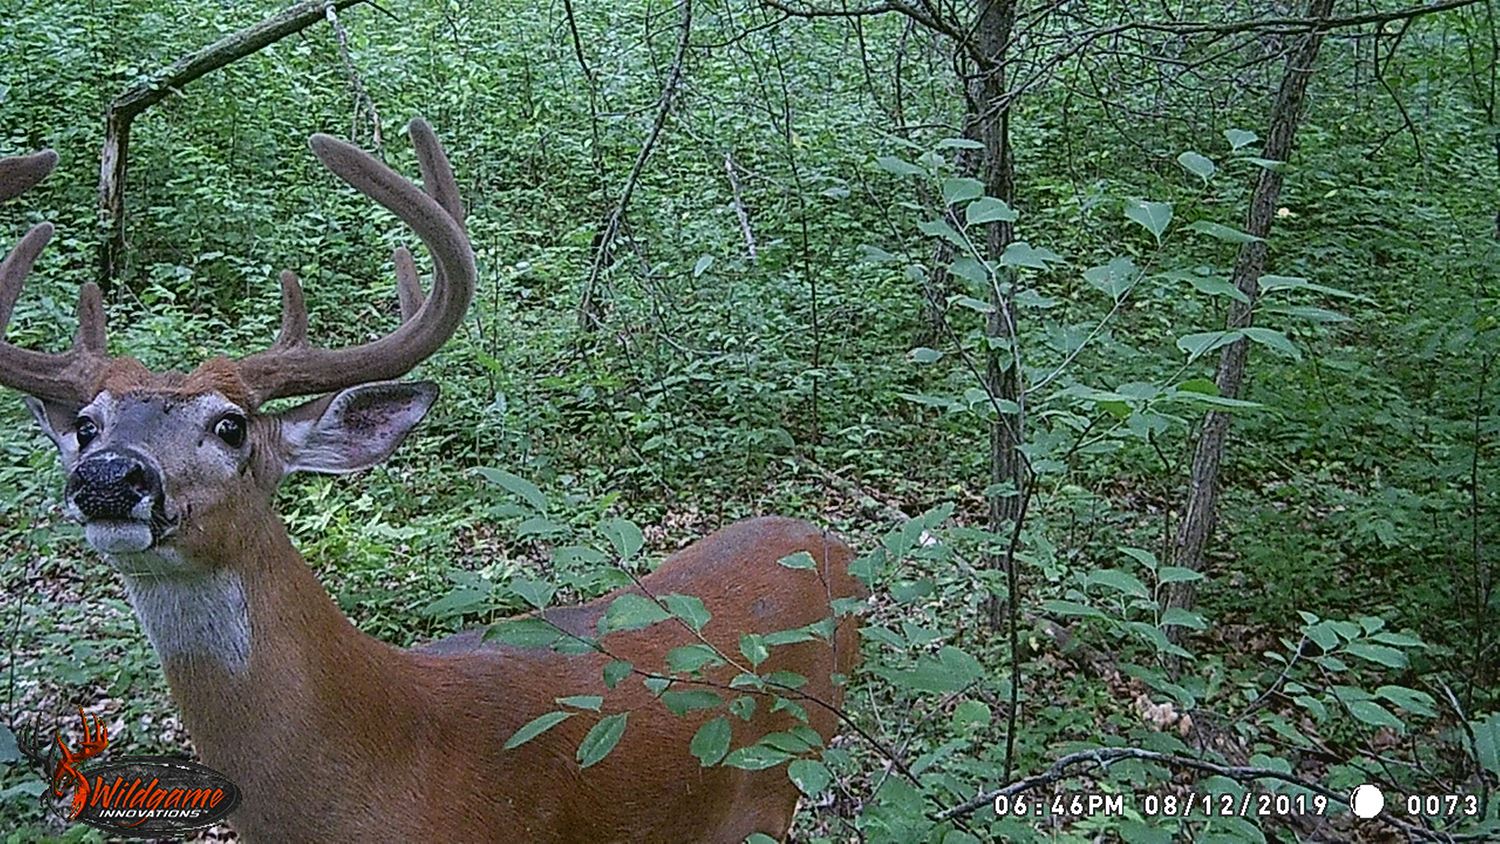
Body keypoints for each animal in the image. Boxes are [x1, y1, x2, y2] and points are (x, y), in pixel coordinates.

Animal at [0, 121, 864, 842]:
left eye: (232, 427)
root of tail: (827, 540)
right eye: (87, 426)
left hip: (779, 782)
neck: (384, 758)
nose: (110, 476)